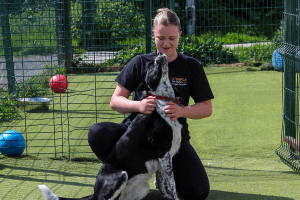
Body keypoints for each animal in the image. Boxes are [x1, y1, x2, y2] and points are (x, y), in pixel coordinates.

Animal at [38, 53, 182, 200]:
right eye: (151, 68)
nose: (159, 54)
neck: (161, 100)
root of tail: (95, 192)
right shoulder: (163, 153)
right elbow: (172, 184)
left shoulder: (162, 159)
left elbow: (162, 183)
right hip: (121, 175)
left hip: (142, 188)